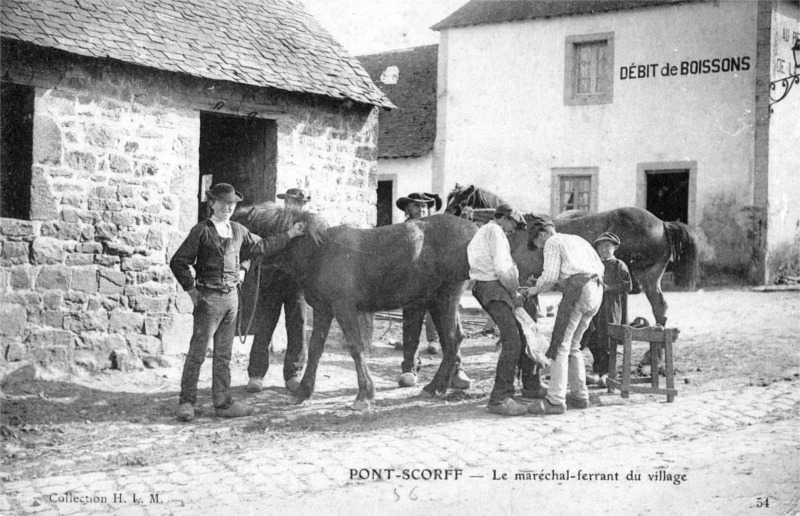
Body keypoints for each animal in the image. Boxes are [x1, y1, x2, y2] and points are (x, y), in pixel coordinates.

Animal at [233, 204, 482, 410]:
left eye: (237, 227)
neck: (319, 252)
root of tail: (473, 229)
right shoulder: (324, 310)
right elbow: (315, 349)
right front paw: (303, 392)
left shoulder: (344, 309)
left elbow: (355, 347)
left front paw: (364, 395)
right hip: (438, 301)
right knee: (454, 340)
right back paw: (440, 385)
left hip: (445, 299)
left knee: (451, 340)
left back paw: (434, 386)